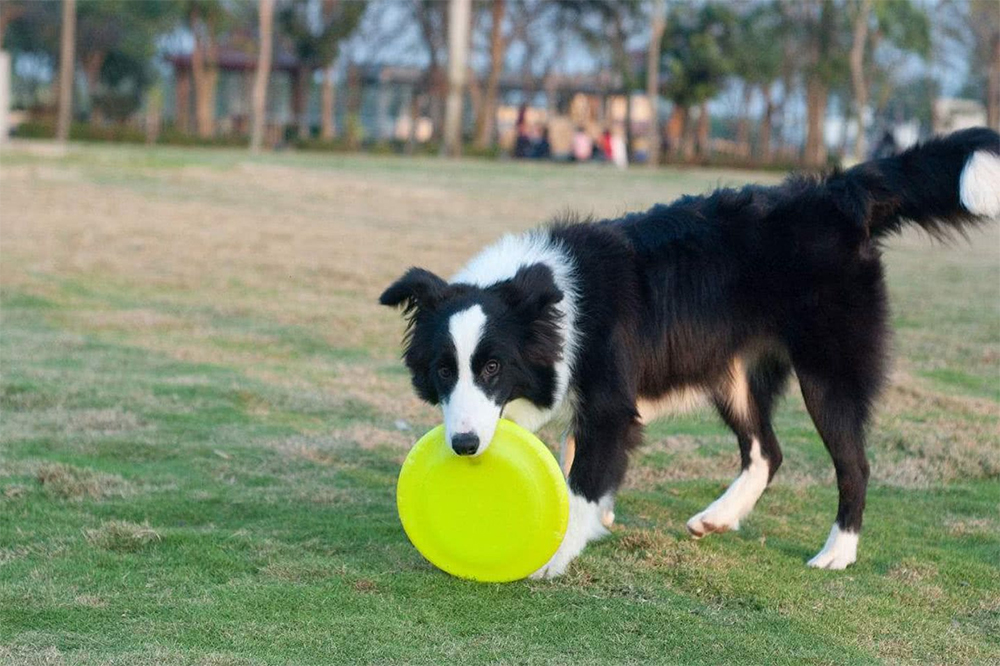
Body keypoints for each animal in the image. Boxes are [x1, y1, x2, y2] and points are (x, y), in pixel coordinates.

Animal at [376, 128, 1000, 576]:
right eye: (443, 370)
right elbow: (580, 459)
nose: (463, 446)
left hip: (828, 369)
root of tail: (837, 197)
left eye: (493, 367)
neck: (546, 300)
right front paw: (597, 521)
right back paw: (718, 518)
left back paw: (837, 553)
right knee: (766, 450)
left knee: (854, 463)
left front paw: (557, 552)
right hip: (731, 371)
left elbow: (583, 479)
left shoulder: (610, 401)